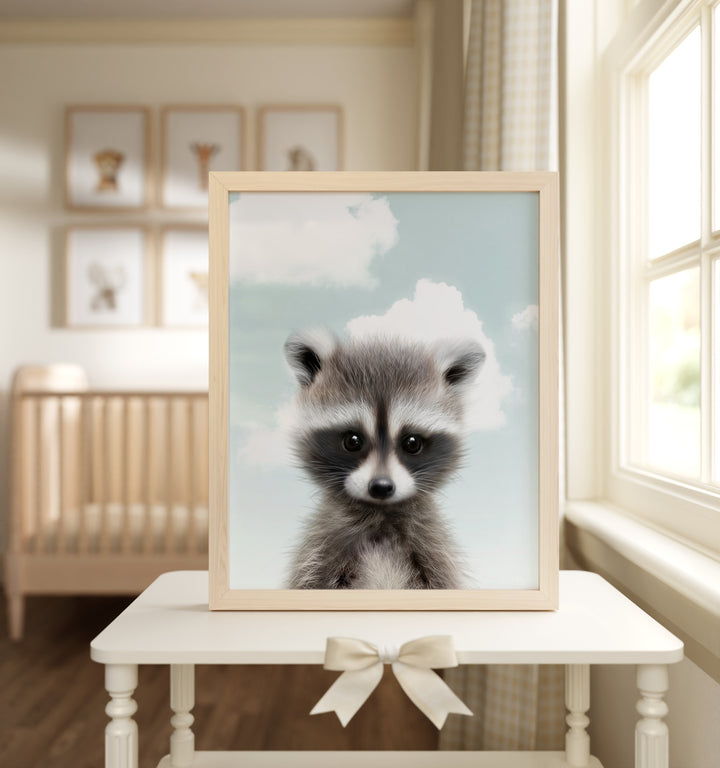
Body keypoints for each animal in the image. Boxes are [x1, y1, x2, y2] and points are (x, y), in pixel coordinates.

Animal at [284, 329, 485, 590]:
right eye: (352, 441)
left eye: (412, 443)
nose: (381, 487)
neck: (381, 516)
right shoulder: (322, 546)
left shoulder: (432, 546)